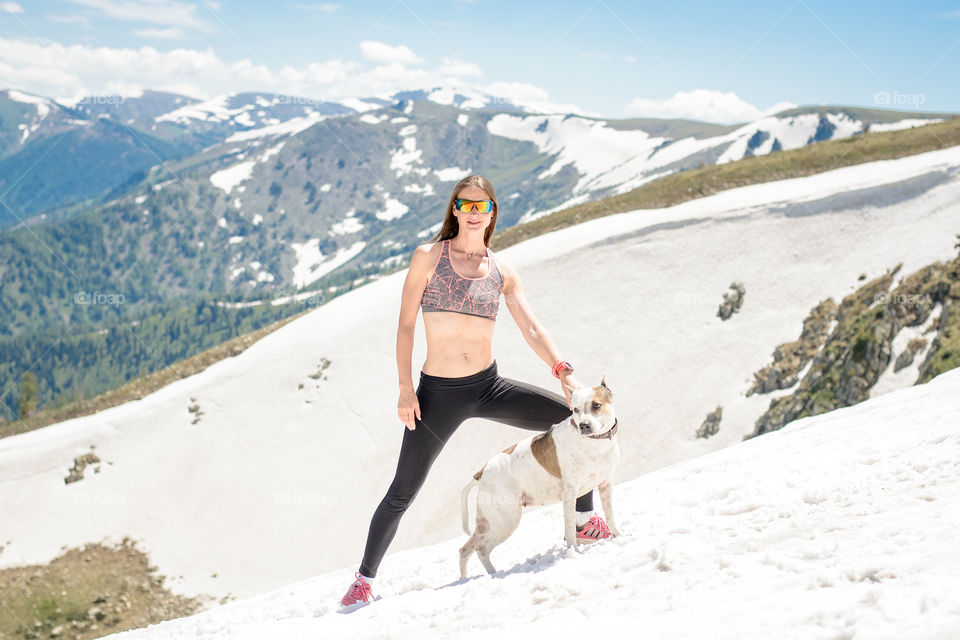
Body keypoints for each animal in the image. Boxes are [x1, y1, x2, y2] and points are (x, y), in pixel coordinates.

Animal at [460, 376, 624, 580]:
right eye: (575, 410)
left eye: (596, 405)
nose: (584, 425)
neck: (594, 442)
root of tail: (481, 472)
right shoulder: (570, 493)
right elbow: (570, 527)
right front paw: (574, 553)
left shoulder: (606, 484)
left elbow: (610, 515)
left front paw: (618, 537)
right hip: (506, 519)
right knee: (481, 548)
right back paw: (494, 575)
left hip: (487, 522)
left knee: (466, 548)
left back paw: (465, 579)